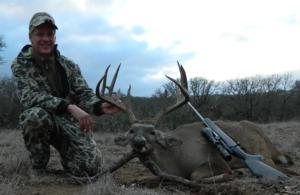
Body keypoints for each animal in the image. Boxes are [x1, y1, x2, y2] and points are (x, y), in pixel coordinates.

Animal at [95, 62, 292, 186]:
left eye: (152, 132)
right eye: (131, 130)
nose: (139, 142)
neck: (176, 160)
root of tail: (268, 141)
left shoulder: (216, 161)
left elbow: (196, 175)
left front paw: (233, 174)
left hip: (261, 152)